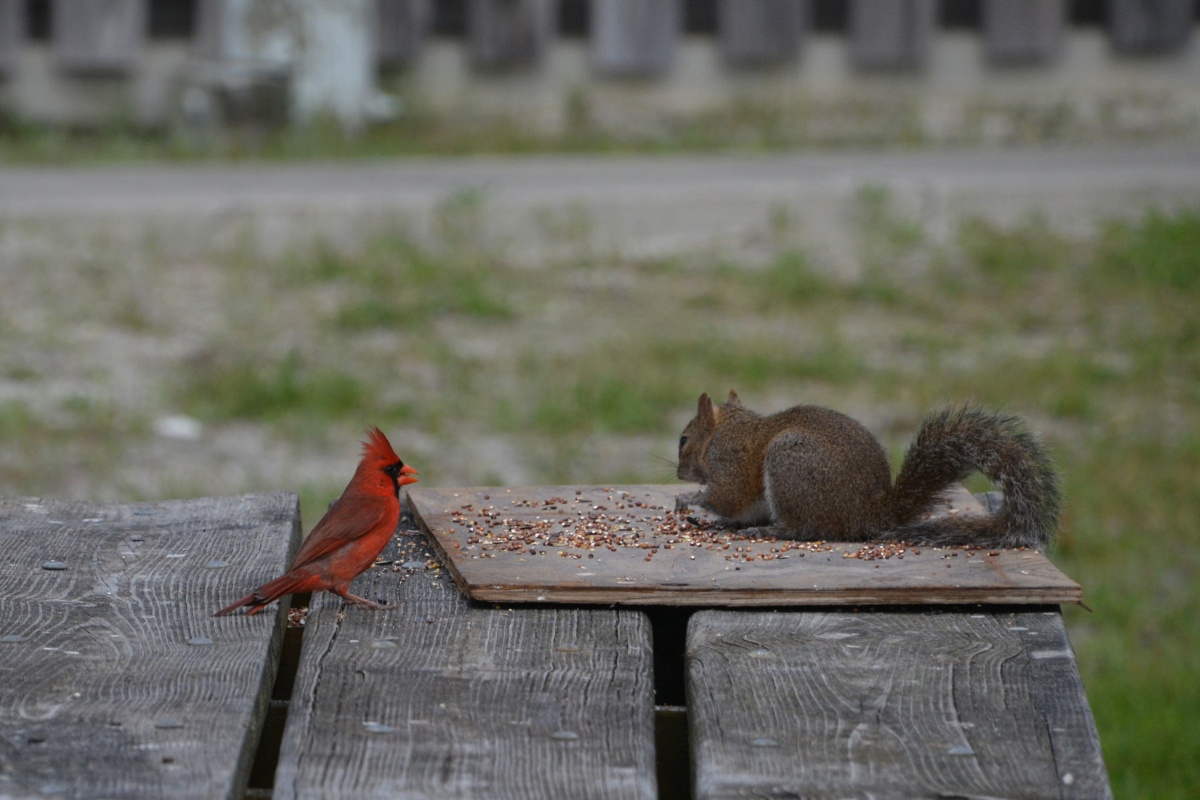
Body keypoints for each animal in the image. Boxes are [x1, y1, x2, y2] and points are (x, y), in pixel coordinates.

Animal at [676, 393, 1060, 551]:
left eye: (683, 440)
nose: (678, 473)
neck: (724, 433)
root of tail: (869, 514)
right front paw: (719, 522)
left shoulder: (731, 468)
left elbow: (726, 496)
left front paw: (688, 499)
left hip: (789, 466)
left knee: (806, 529)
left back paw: (770, 530)